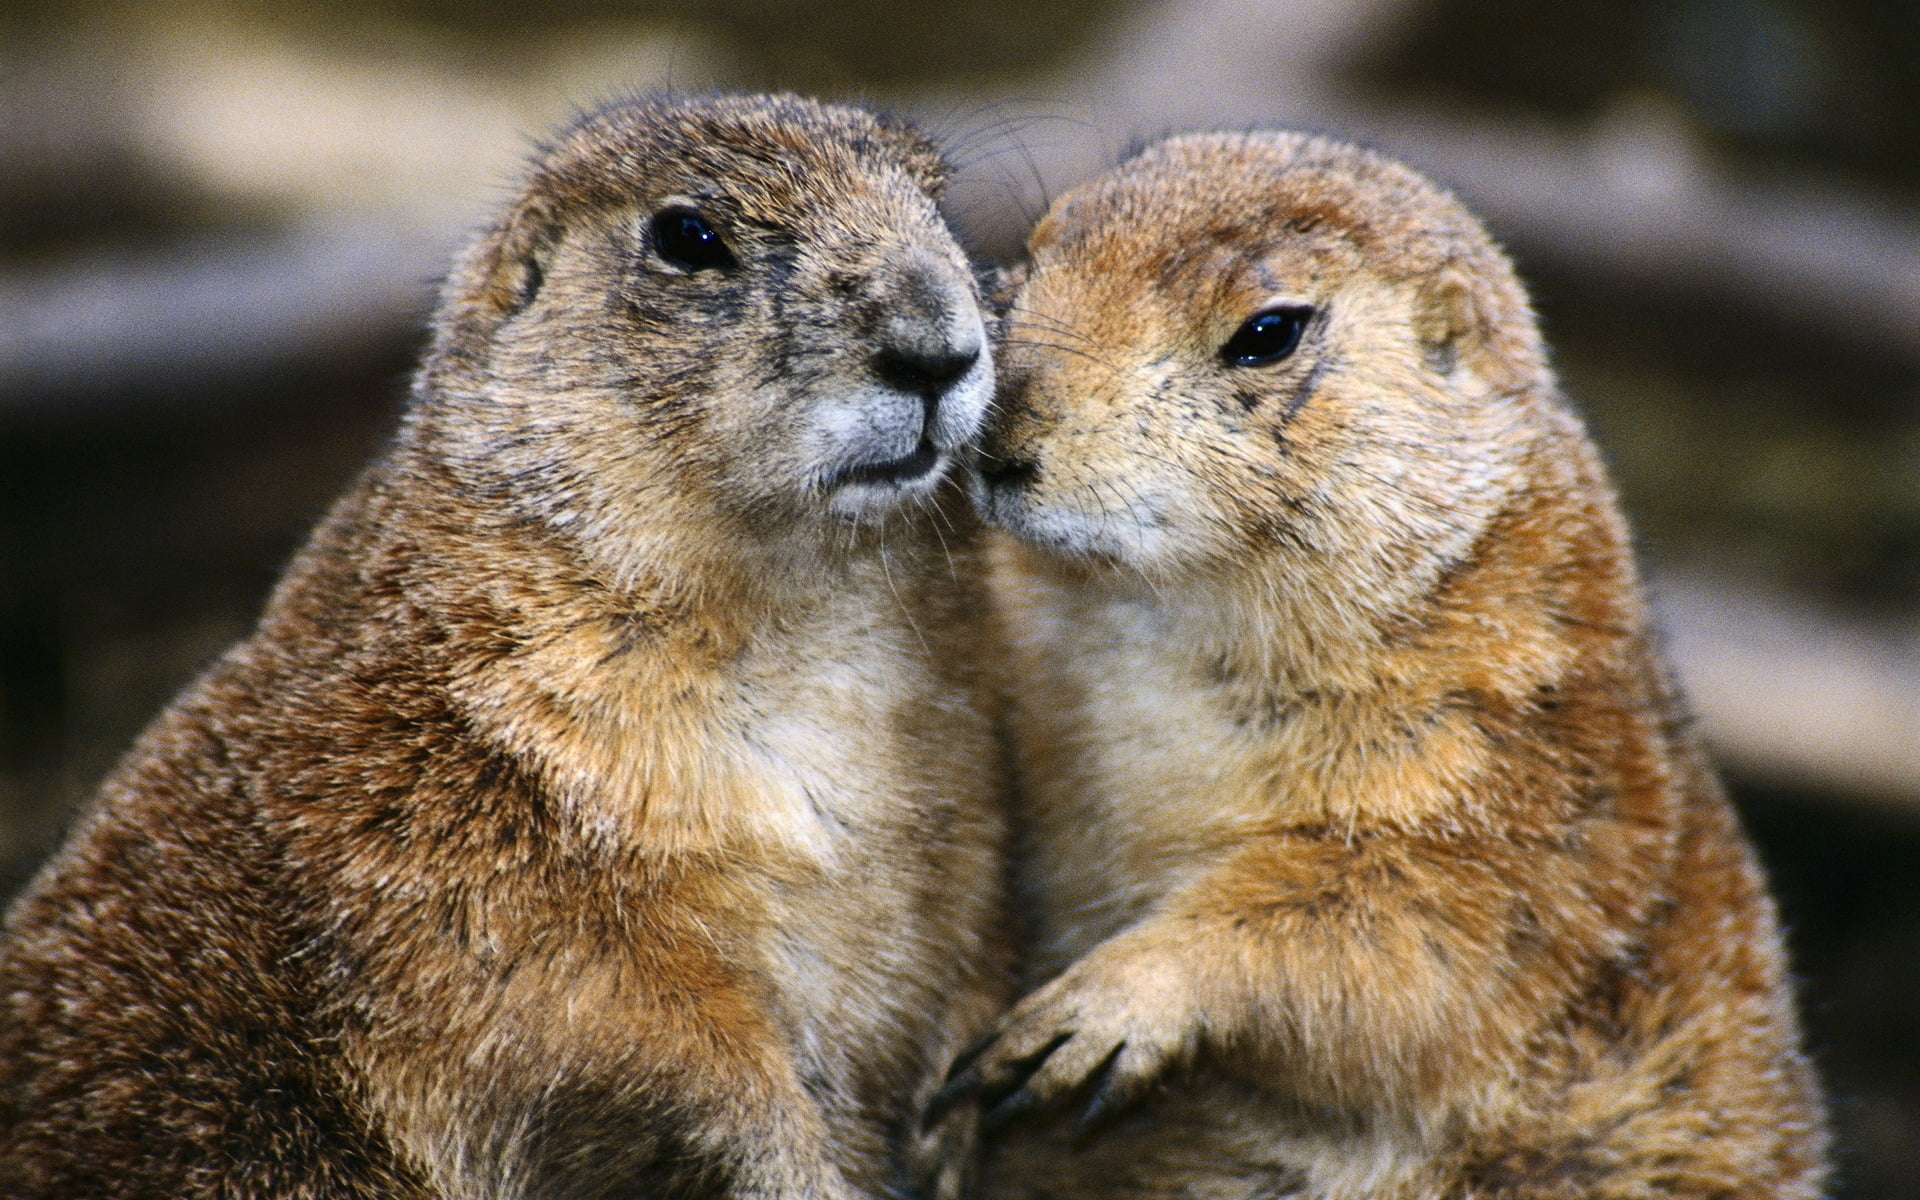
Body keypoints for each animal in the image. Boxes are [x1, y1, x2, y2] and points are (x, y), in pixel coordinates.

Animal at [0, 93, 1009, 1200]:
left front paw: (967, 1086)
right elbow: (639, 1045)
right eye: (687, 237)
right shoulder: (453, 843)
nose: (937, 349)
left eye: (935, 197)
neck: (801, 597)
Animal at [932, 131, 1827, 1198]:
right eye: (1033, 253)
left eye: (1268, 332)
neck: (1150, 608)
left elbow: (1394, 929)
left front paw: (1102, 1008)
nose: (995, 440)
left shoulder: (1511, 764)